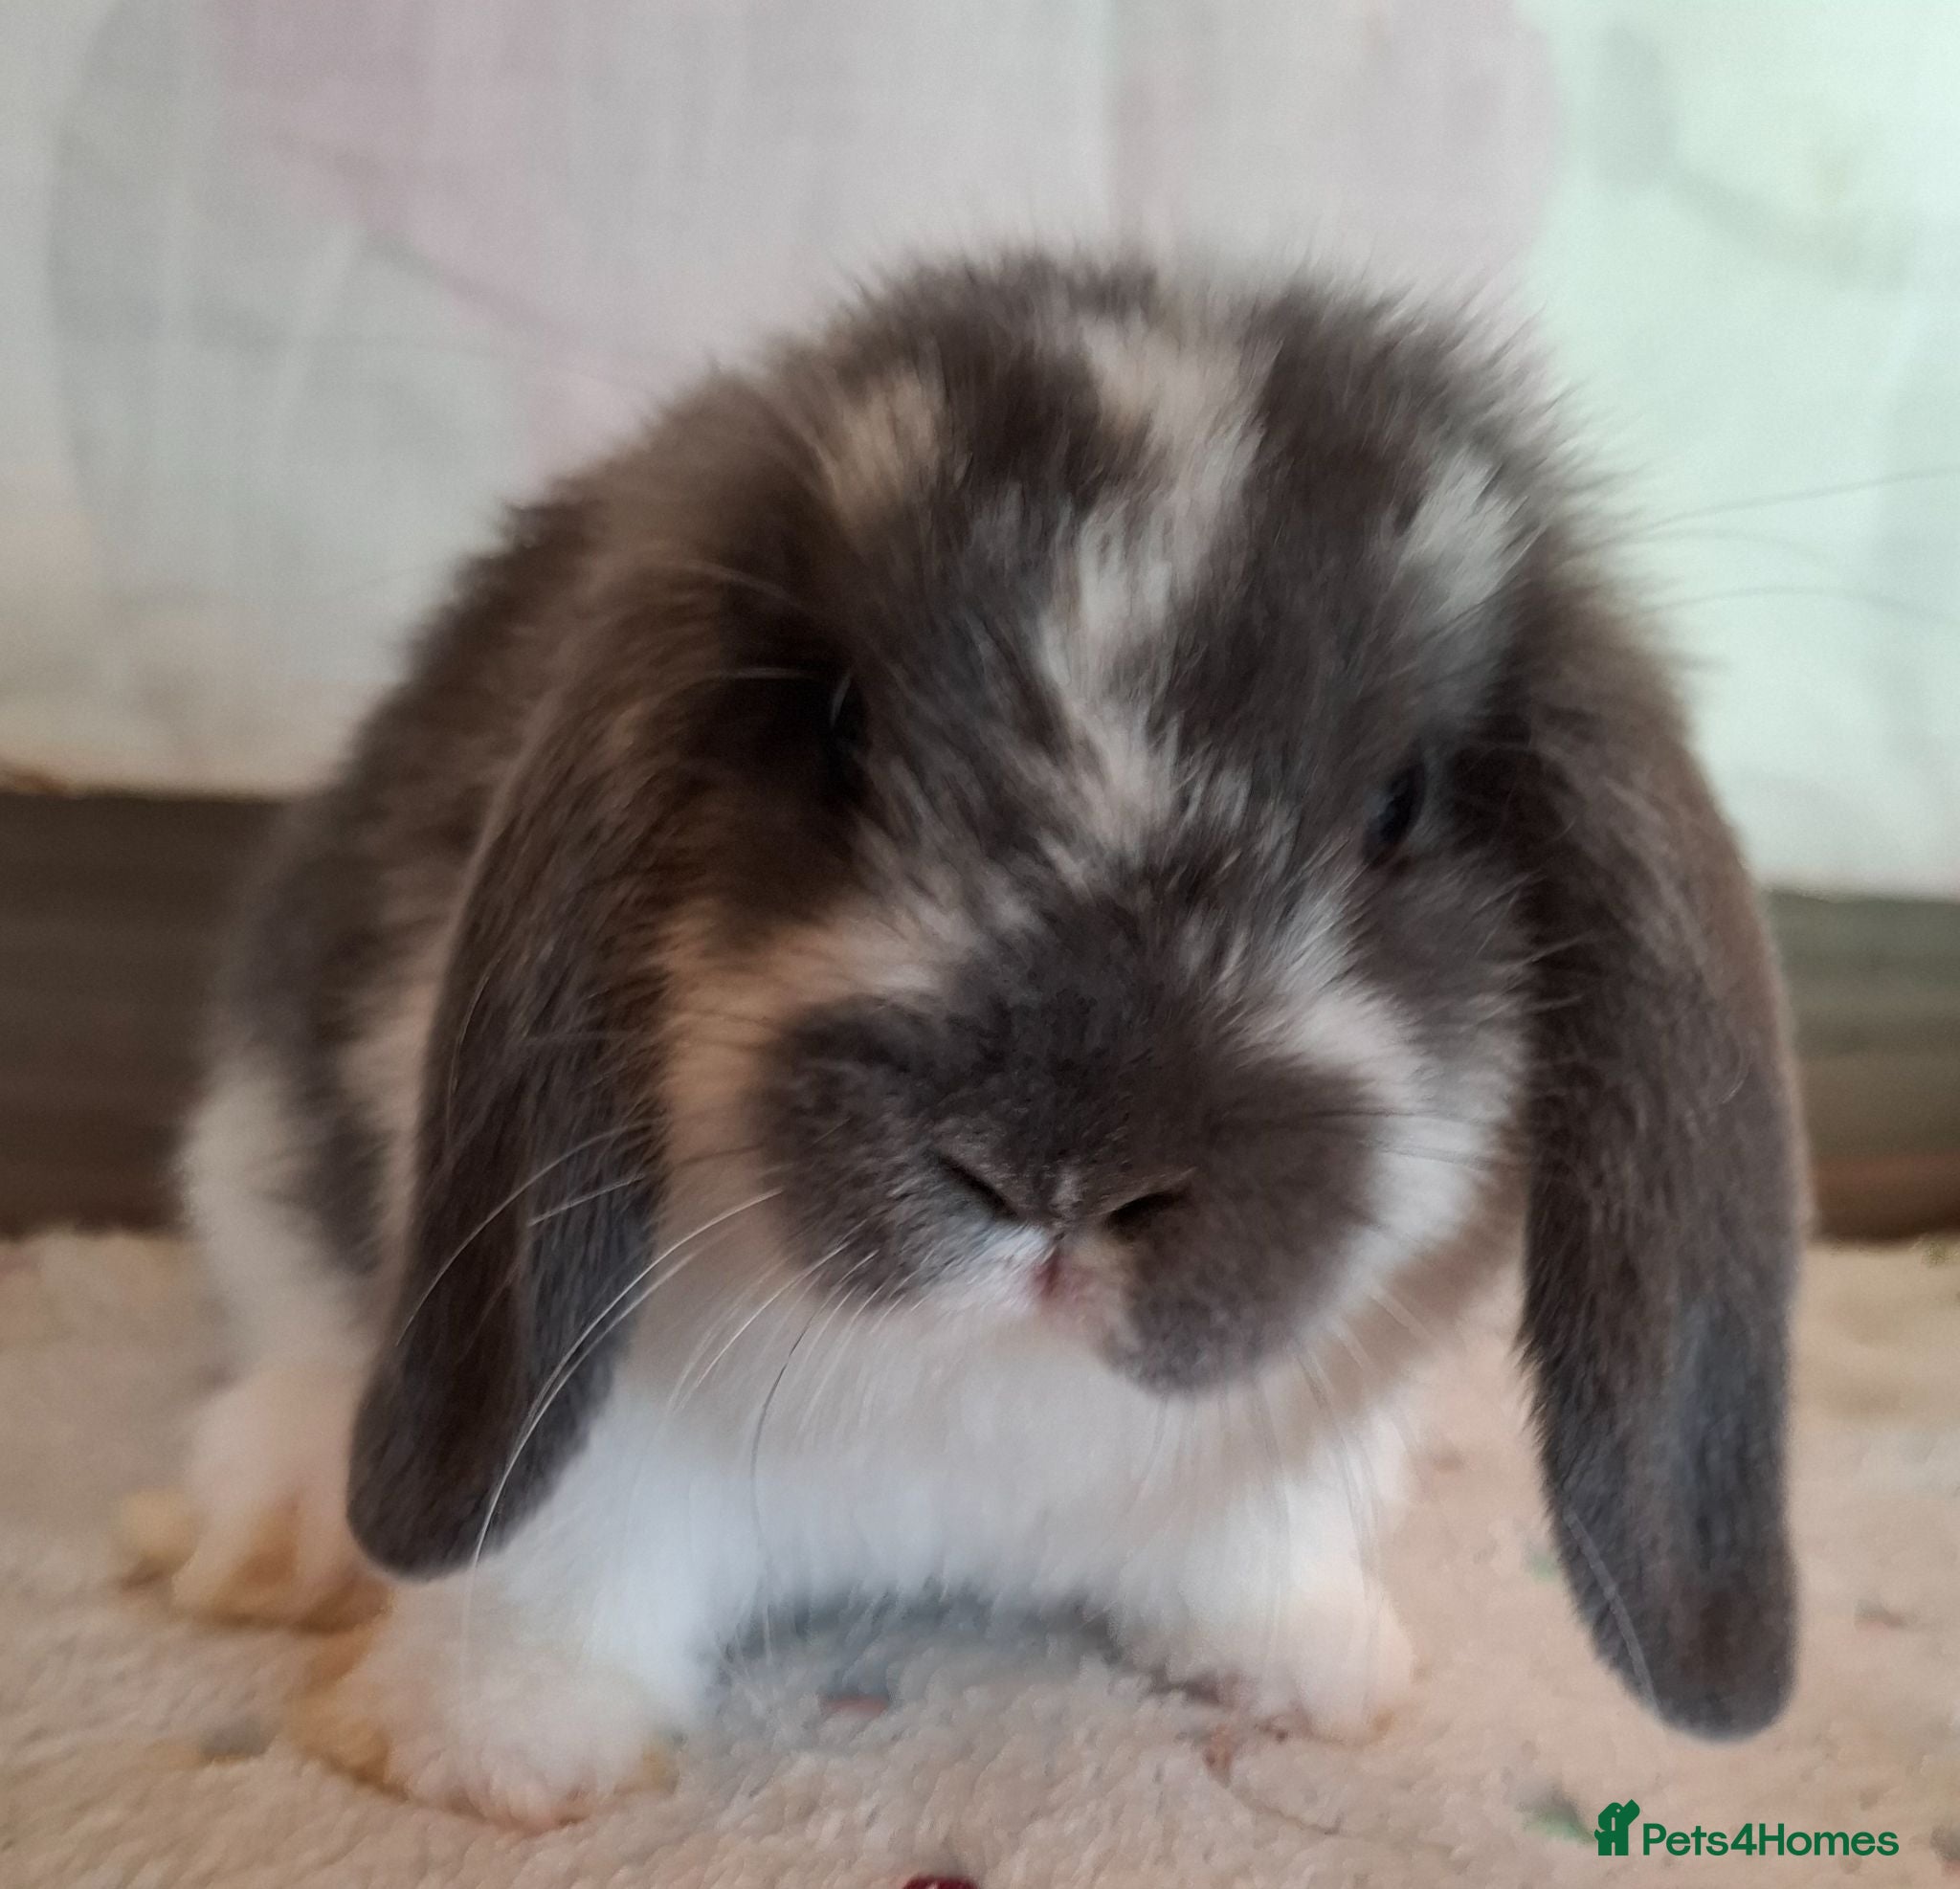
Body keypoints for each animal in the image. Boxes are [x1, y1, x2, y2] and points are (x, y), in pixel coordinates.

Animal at [140, 252, 1802, 1828]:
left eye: (1400, 804)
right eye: (840, 730)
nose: (1057, 1179)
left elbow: (1251, 1548)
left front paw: (1313, 1667)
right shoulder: (583, 1425)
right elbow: (557, 1562)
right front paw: (483, 1755)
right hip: (257, 1138)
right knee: (292, 1310)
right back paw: (272, 1527)